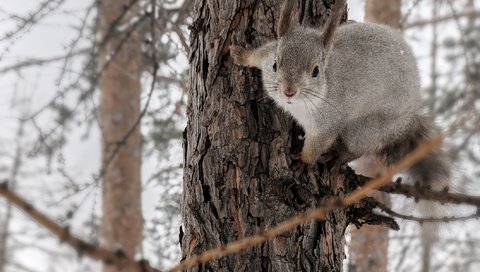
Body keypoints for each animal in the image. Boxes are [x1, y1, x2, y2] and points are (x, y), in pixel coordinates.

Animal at [231, 0, 452, 188]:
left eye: (316, 71)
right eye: (275, 64)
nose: (289, 91)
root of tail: (408, 119)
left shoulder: (327, 122)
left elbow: (316, 146)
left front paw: (304, 162)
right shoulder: (268, 54)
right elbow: (258, 55)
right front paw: (240, 54)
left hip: (366, 128)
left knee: (357, 148)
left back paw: (338, 156)